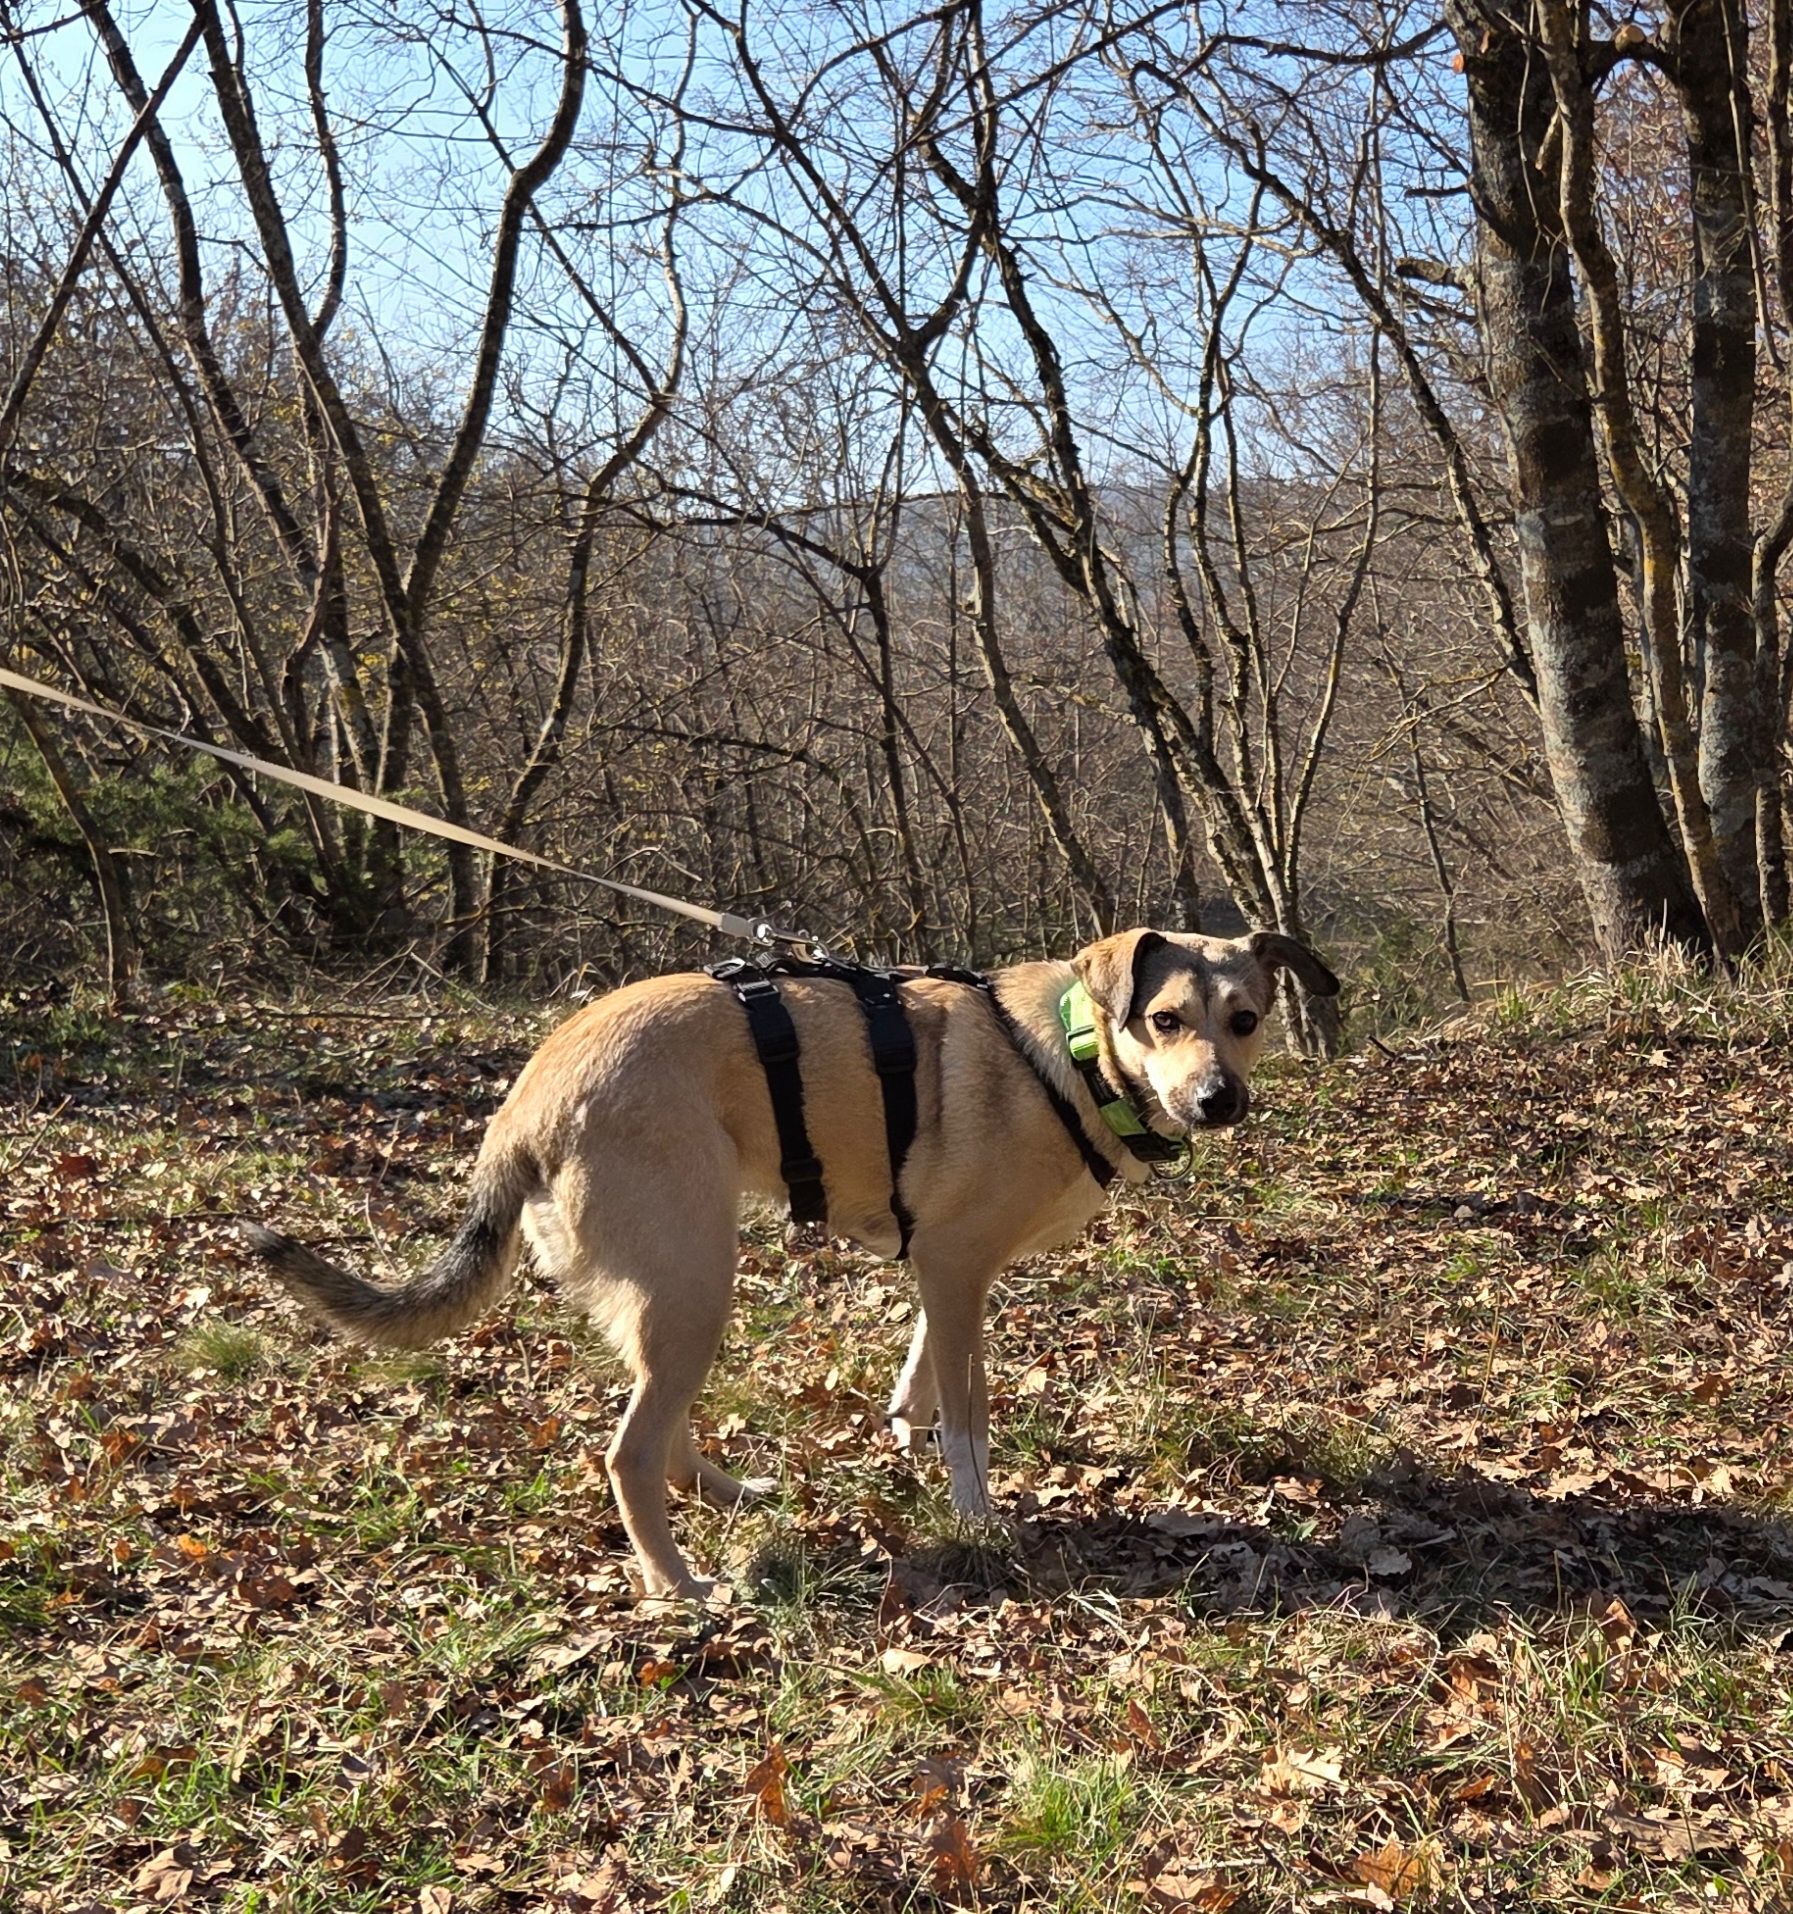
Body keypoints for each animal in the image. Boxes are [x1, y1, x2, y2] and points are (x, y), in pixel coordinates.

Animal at [241, 926, 1339, 1597]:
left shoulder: (940, 1273)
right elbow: (969, 1419)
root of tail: (522, 1109)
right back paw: (680, 1588)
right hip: (695, 1281)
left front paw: (902, 1431)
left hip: (676, 1290)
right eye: (1166, 1020)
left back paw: (728, 1499)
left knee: (663, 1432)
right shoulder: (957, 1268)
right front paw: (977, 1518)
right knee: (628, 1453)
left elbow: (920, 1373)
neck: (1072, 1057)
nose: (1218, 1101)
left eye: (1244, 1020)